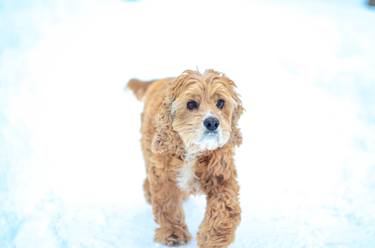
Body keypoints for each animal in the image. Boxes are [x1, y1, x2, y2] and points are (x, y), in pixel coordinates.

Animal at [128, 69, 245, 247]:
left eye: (220, 102)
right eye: (191, 104)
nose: (212, 122)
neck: (193, 149)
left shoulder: (222, 176)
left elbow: (225, 207)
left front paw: (212, 237)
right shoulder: (163, 176)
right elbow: (167, 205)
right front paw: (173, 233)